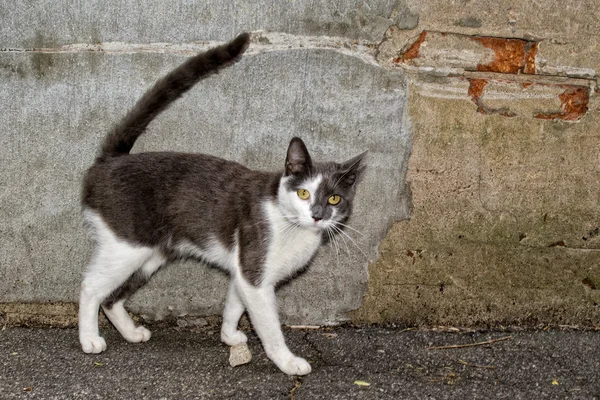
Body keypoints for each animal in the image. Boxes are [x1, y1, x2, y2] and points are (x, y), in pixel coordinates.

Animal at [77, 32, 368, 376]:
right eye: (304, 193)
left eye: (334, 198)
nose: (318, 215)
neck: (289, 224)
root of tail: (110, 162)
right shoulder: (255, 273)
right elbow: (269, 326)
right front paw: (287, 361)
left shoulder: (243, 271)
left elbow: (233, 303)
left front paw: (229, 336)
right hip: (126, 247)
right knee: (91, 287)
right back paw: (89, 339)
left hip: (150, 255)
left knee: (112, 297)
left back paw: (131, 332)